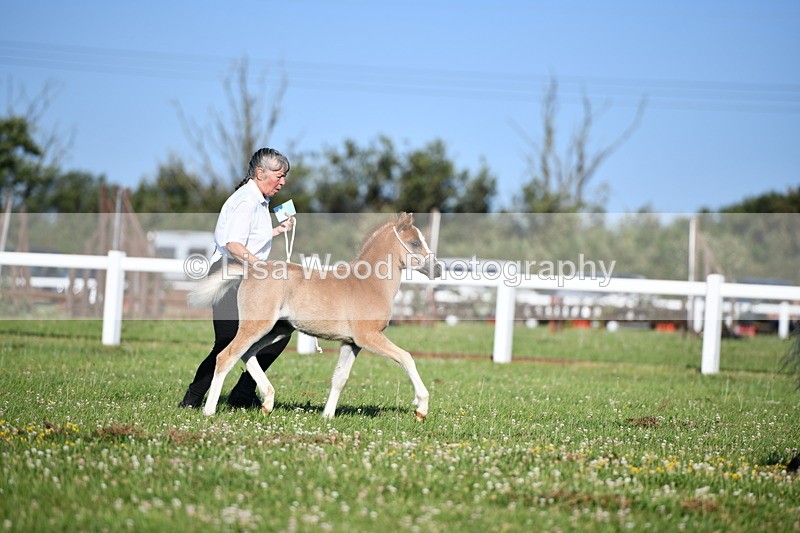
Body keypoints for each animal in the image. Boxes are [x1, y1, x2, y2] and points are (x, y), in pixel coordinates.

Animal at [188, 212, 442, 420]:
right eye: (415, 242)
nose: (437, 269)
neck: (370, 284)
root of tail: (250, 271)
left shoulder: (351, 343)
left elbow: (340, 378)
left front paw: (327, 416)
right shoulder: (369, 336)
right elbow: (406, 357)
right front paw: (421, 407)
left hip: (278, 331)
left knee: (247, 353)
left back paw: (268, 402)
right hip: (257, 326)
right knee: (226, 356)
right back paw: (209, 410)